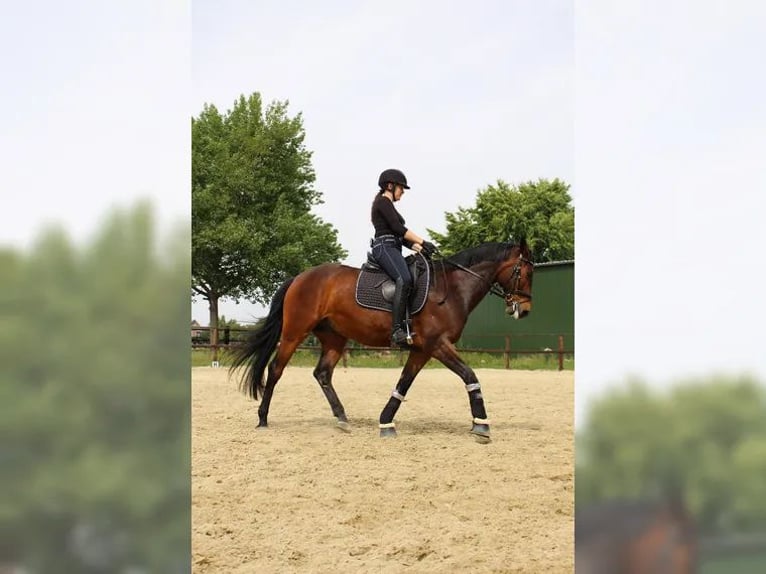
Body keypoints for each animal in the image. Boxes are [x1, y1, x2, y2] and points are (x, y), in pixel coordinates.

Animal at [230, 240, 534, 442]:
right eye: (527, 272)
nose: (525, 310)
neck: (452, 289)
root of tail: (299, 277)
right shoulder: (438, 345)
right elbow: (470, 376)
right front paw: (481, 424)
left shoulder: (422, 350)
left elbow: (403, 385)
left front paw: (386, 422)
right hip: (294, 333)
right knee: (275, 370)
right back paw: (263, 418)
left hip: (334, 339)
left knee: (322, 374)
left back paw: (342, 419)